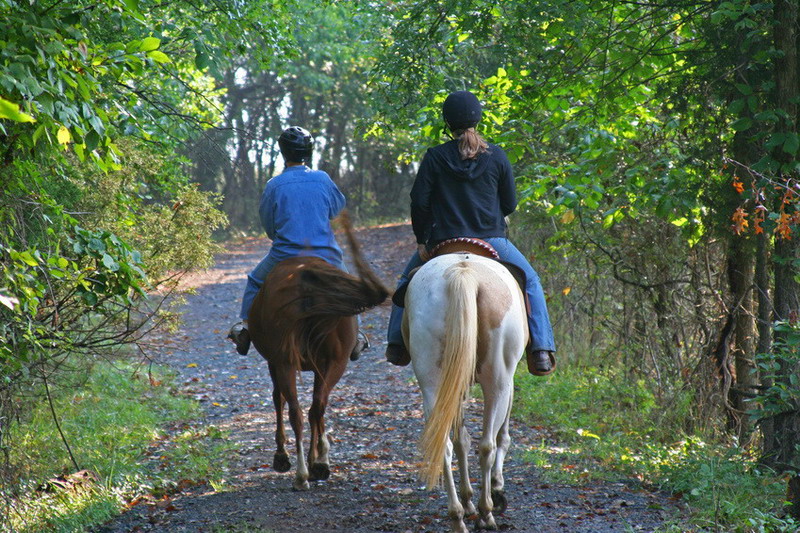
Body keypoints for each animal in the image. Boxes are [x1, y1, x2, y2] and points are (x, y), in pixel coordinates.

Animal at [248, 216, 390, 490]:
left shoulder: (274, 362)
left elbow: (277, 399)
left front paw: (281, 456)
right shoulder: (317, 365)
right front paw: (317, 461)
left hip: (285, 362)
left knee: (296, 410)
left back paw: (302, 473)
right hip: (336, 362)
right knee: (316, 406)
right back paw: (318, 464)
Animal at [404, 251, 528, 528]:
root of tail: (464, 273)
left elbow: (461, 440)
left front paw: (468, 499)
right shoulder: (509, 381)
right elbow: (502, 436)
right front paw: (497, 487)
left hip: (433, 380)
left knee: (445, 444)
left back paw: (458, 516)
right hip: (498, 380)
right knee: (487, 445)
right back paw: (487, 512)